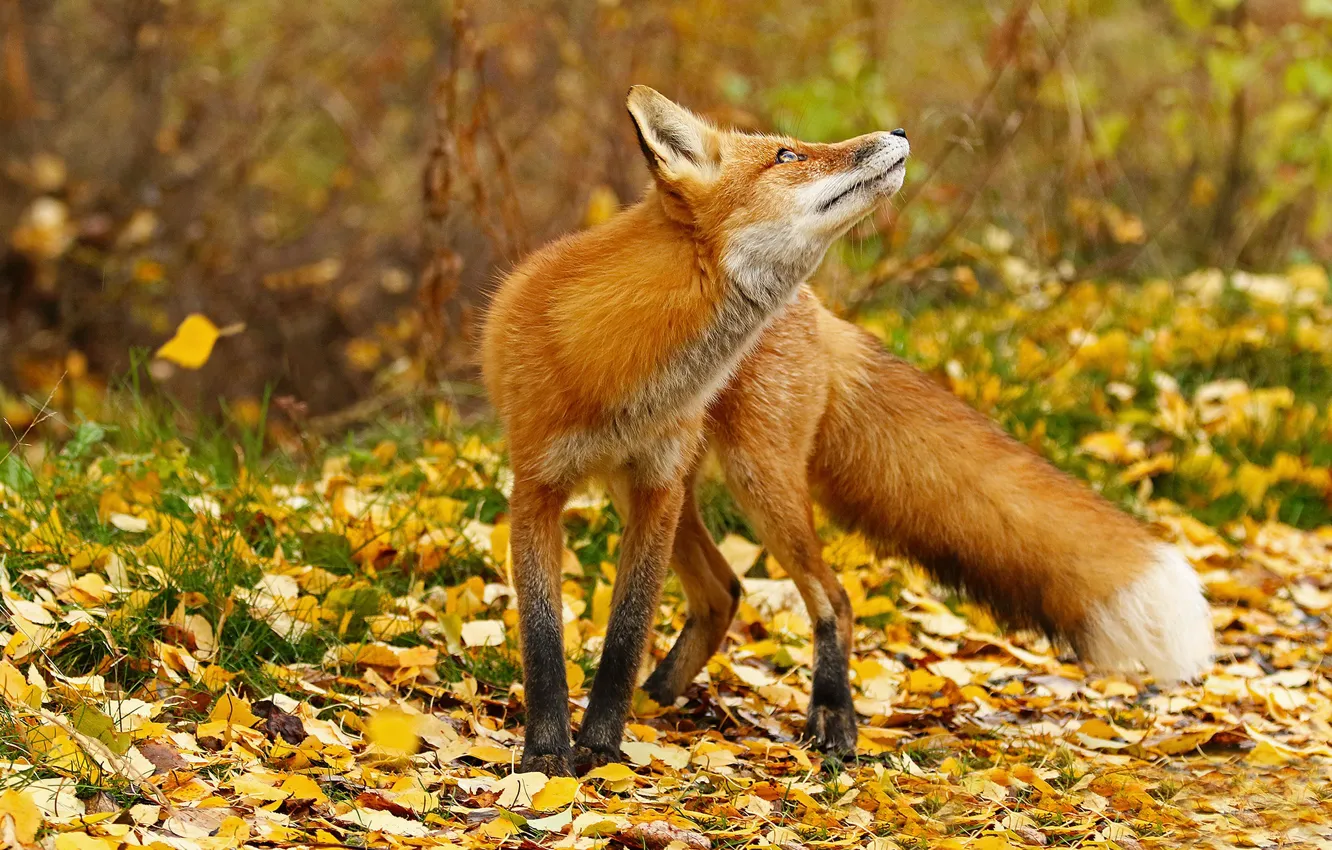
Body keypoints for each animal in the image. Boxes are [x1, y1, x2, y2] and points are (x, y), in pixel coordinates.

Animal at [481, 86, 1214, 776]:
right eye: (786, 156)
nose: (898, 131)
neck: (624, 359)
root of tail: (815, 310)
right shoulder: (539, 484)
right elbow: (542, 640)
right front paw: (549, 755)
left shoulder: (655, 485)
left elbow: (626, 630)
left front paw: (599, 750)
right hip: (665, 491)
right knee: (725, 592)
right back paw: (661, 700)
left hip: (753, 481)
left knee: (828, 597)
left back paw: (830, 721)